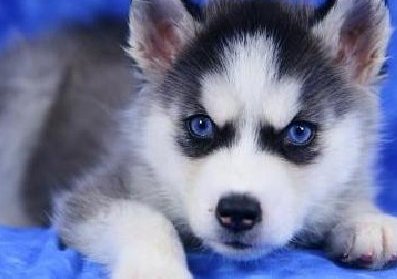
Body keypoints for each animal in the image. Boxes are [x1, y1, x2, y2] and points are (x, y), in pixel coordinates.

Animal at [0, 0, 396, 278]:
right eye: (201, 125)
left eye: (299, 131)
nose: (238, 212)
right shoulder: (97, 190)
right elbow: (146, 219)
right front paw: (157, 270)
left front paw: (367, 220)